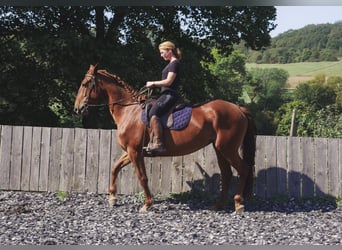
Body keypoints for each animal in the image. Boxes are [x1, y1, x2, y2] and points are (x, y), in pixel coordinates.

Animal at [75, 63, 256, 212]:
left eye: (85, 84)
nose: (78, 108)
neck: (129, 111)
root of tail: (238, 108)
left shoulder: (134, 152)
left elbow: (142, 177)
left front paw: (147, 204)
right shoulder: (132, 151)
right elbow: (115, 167)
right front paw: (112, 198)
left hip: (228, 148)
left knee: (243, 169)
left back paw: (238, 204)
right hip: (220, 149)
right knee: (227, 174)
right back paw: (218, 205)